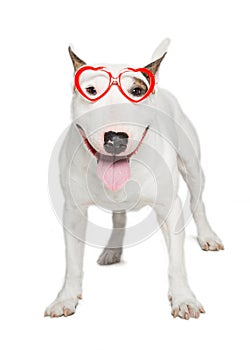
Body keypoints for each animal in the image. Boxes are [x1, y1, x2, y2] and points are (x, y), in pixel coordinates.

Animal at [44, 38, 223, 320]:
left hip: (192, 167)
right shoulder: (73, 211)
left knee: (198, 201)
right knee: (119, 218)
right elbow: (72, 262)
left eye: (136, 91)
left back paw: (207, 235)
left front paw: (184, 298)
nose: (116, 137)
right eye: (91, 90)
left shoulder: (170, 207)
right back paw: (112, 250)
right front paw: (66, 298)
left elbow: (176, 261)